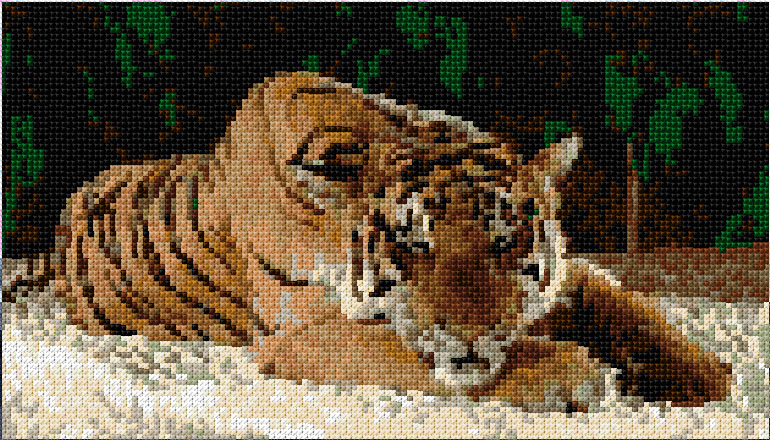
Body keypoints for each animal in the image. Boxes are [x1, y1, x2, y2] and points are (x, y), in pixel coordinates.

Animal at [3, 71, 731, 411]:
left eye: (504, 241)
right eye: (414, 246)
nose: (473, 333)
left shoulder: (570, 276)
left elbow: (626, 304)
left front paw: (705, 373)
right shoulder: (306, 334)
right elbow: (407, 352)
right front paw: (572, 371)